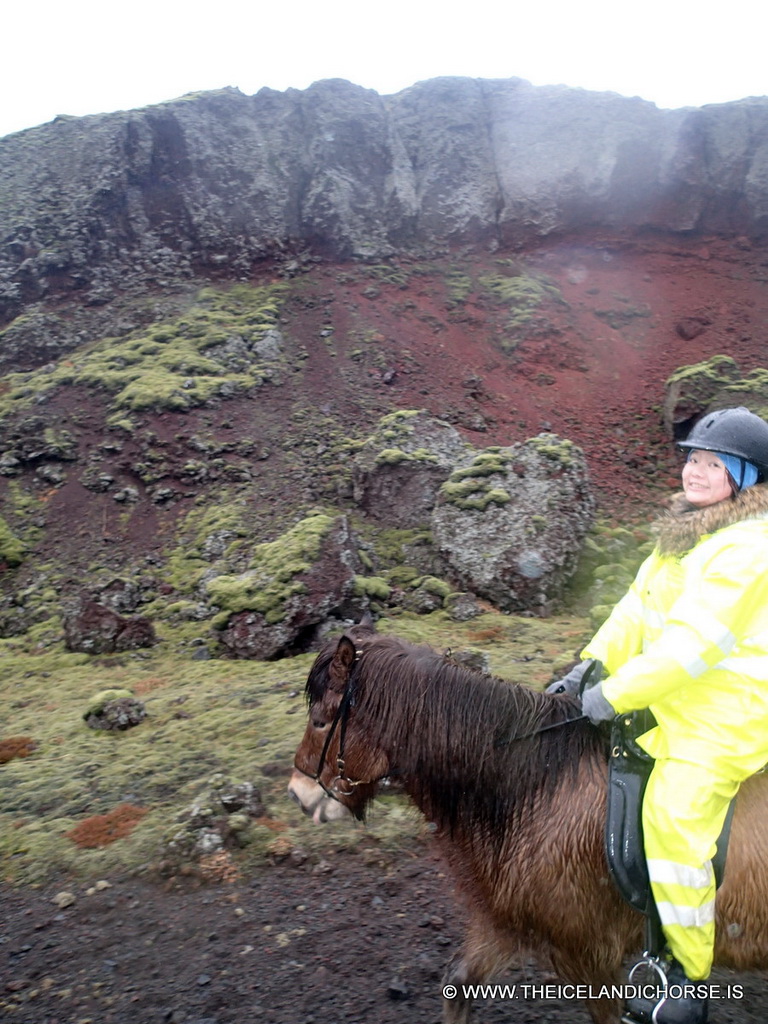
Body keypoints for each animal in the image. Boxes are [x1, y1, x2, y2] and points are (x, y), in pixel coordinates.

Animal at [286, 618, 768, 1019]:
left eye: (321, 720)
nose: (297, 793)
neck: (540, 786)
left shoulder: (590, 955)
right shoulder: (507, 925)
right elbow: (458, 986)